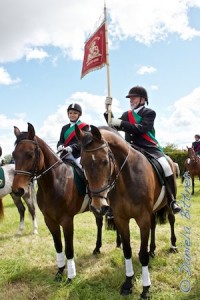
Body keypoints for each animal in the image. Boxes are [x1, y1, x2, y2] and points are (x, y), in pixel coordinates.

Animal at [12, 123, 120, 282]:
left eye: (30, 154)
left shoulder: (67, 220)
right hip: (97, 207)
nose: (17, 190)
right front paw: (59, 271)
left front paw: (70, 276)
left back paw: (119, 244)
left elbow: (69, 249)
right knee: (99, 223)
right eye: (13, 155)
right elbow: (58, 246)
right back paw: (97, 248)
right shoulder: (49, 220)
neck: (54, 183)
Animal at [75, 124, 178, 298]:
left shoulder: (142, 218)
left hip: (168, 205)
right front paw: (128, 283)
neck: (127, 179)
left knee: (171, 220)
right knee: (153, 225)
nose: (97, 206)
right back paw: (152, 249)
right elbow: (127, 250)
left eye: (105, 161)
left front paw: (145, 288)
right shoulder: (121, 219)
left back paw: (173, 246)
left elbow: (142, 255)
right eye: (82, 163)